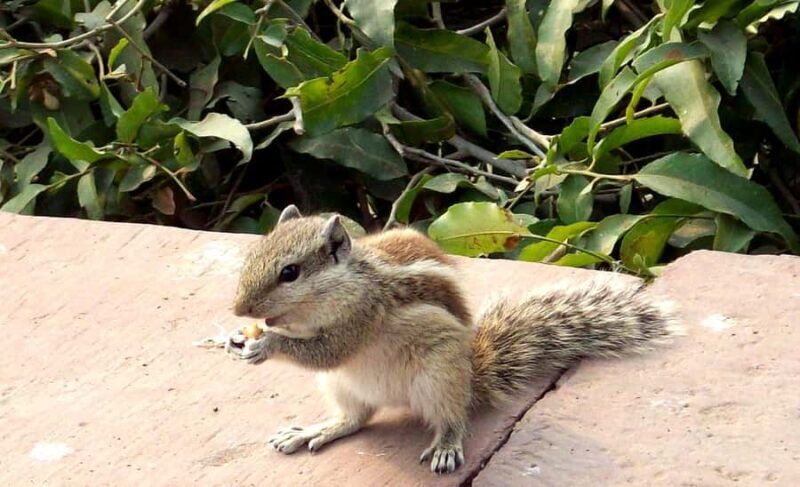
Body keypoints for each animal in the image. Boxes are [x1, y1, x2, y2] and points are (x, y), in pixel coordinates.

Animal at [226, 204, 675, 474]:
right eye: (252, 257)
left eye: (290, 273)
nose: (238, 308)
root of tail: (474, 379)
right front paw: (235, 338)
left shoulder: (362, 316)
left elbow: (327, 350)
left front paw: (266, 343)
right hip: (341, 386)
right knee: (355, 418)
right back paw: (311, 431)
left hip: (439, 376)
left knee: (451, 418)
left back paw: (445, 445)